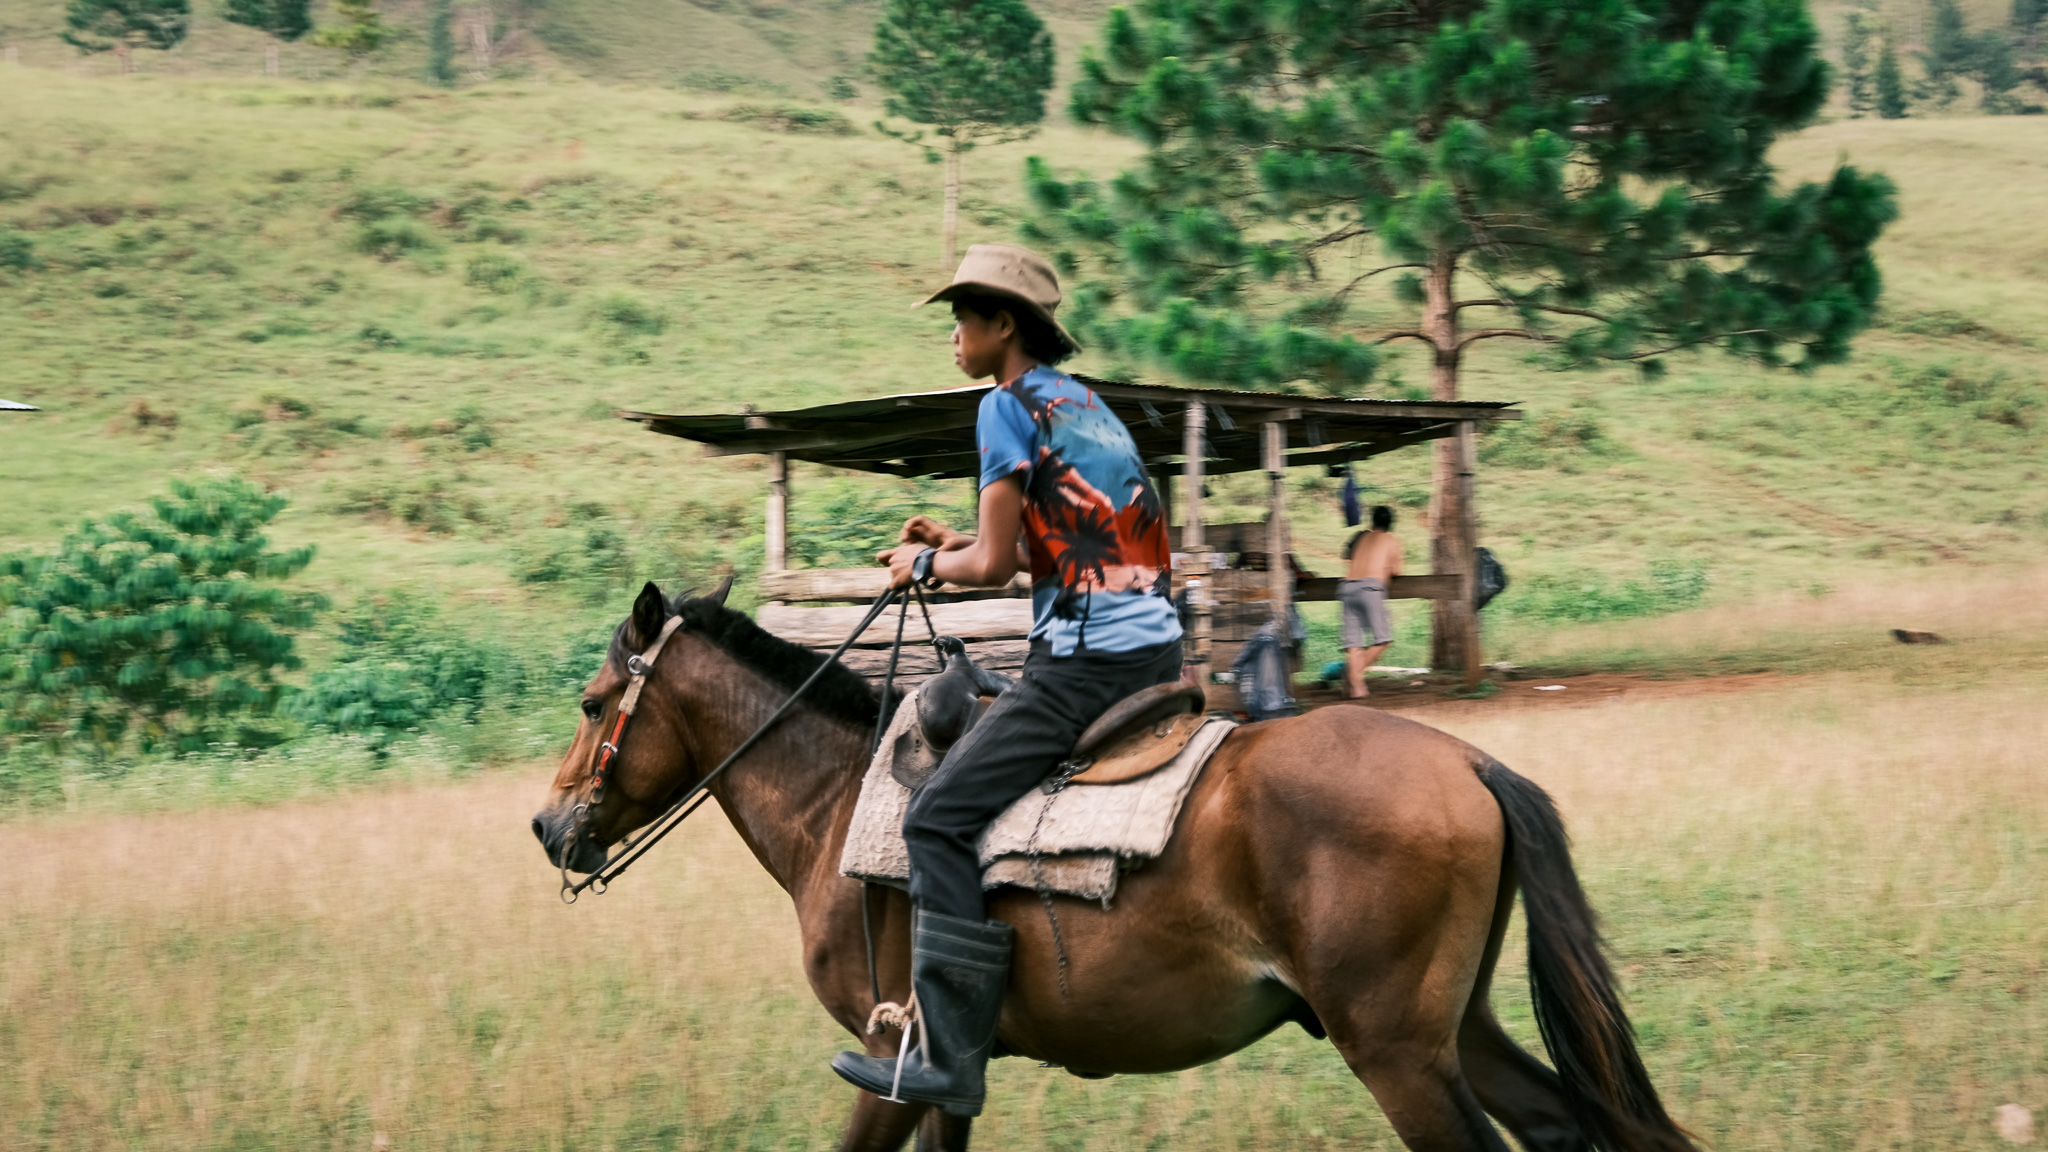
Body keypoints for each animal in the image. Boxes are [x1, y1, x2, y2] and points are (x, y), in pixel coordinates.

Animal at [528, 582, 1695, 1147]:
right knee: (1560, 1121)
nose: (549, 828)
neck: (835, 804)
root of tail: (1468, 760)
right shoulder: (952, 1074)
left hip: (1398, 1053)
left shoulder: (892, 1055)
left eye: (592, 703)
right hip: (1452, 1030)